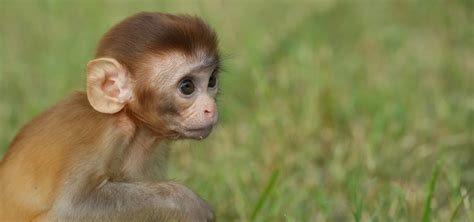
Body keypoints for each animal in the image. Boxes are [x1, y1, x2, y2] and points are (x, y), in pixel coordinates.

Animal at [0, 12, 219, 222]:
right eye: (187, 86)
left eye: (212, 81)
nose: (211, 108)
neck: (133, 122)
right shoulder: (98, 135)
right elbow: (68, 209)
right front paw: (186, 201)